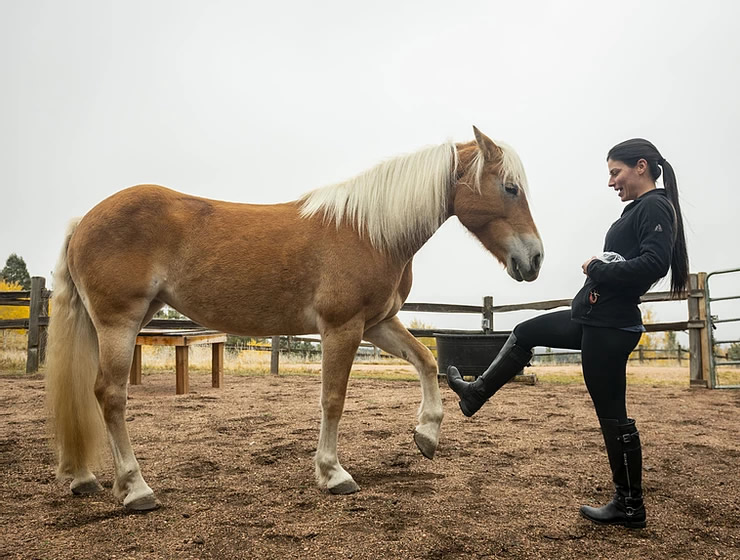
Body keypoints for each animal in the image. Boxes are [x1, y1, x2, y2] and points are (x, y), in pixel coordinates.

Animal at [47, 127, 544, 512]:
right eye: (510, 188)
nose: (535, 258)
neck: (369, 232)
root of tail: (84, 220)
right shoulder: (342, 327)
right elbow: (333, 399)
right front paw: (333, 473)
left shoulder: (378, 324)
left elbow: (426, 361)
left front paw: (427, 435)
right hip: (119, 322)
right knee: (110, 396)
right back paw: (135, 489)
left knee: (86, 391)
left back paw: (84, 478)